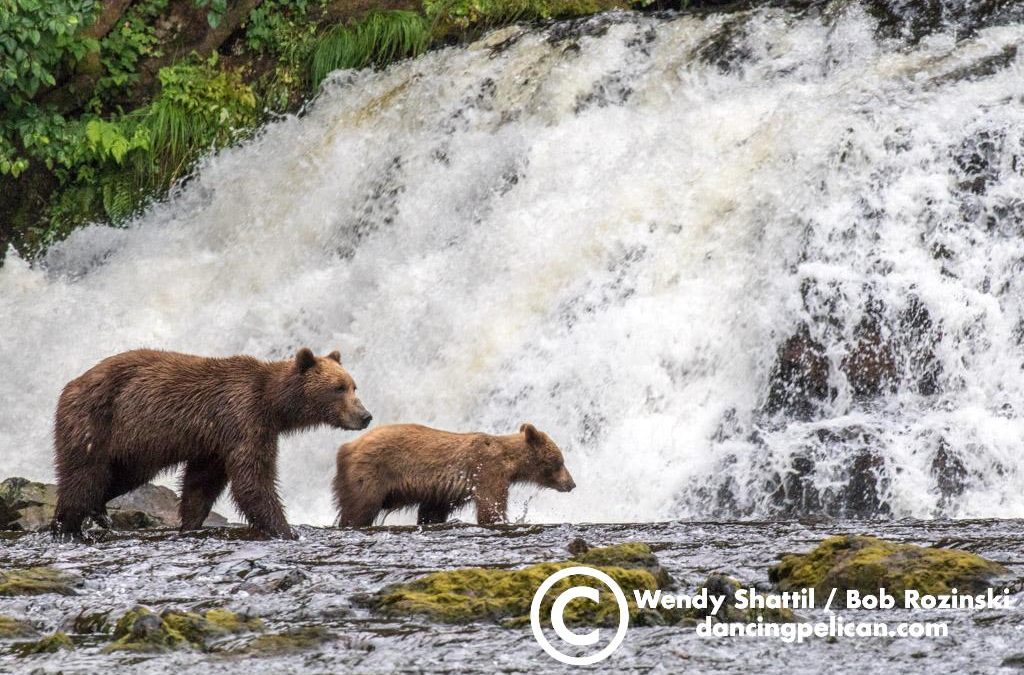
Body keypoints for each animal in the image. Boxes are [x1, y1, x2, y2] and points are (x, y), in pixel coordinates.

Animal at [50, 348, 372, 536]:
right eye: (338, 388)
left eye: (354, 386)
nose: (365, 416)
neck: (272, 404)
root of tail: (70, 384)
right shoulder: (243, 419)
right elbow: (252, 480)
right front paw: (286, 530)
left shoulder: (214, 443)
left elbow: (201, 484)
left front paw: (190, 524)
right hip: (96, 422)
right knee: (84, 475)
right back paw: (67, 526)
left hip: (130, 448)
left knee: (118, 477)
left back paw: (98, 511)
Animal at [335, 422, 577, 528]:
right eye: (560, 461)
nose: (572, 484)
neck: (510, 463)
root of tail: (347, 447)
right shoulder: (486, 471)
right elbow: (491, 505)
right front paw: (501, 519)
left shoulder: (442, 493)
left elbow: (432, 512)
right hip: (371, 474)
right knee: (360, 507)